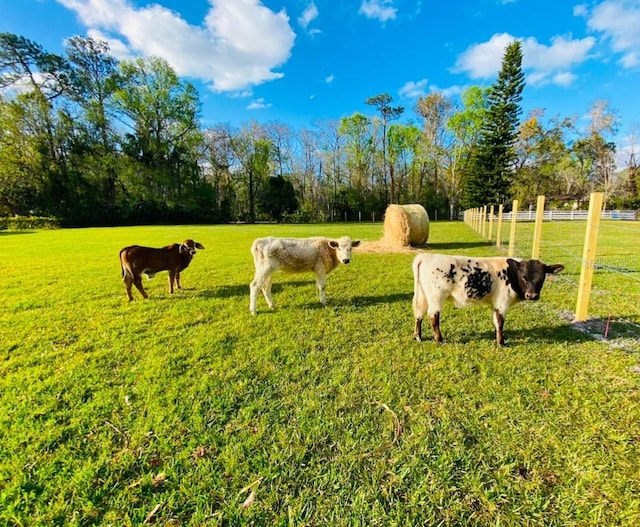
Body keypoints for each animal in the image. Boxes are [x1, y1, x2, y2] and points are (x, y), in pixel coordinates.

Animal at [412, 255, 564, 346]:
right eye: (524, 276)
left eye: (542, 277)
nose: (532, 295)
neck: (510, 274)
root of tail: (427, 256)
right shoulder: (502, 303)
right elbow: (500, 322)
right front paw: (501, 342)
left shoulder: (495, 304)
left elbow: (496, 322)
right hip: (436, 297)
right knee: (433, 316)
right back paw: (439, 339)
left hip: (424, 296)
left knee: (419, 315)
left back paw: (418, 336)